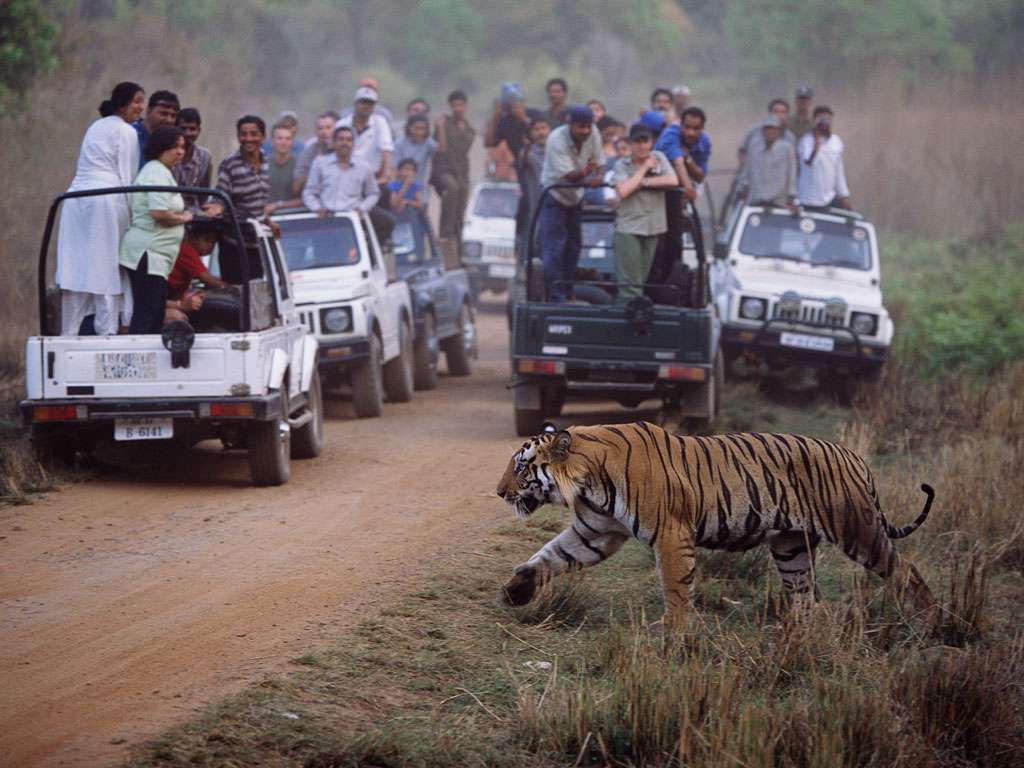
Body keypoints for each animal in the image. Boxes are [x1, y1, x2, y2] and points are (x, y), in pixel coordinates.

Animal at [496, 421, 936, 629]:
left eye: (521, 466)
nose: (499, 492)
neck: (588, 479)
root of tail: (854, 456)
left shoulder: (671, 534)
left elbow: (676, 588)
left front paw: (671, 633)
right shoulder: (596, 533)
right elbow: (550, 555)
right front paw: (516, 590)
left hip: (857, 529)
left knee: (907, 570)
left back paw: (932, 620)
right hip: (791, 546)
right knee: (807, 597)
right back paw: (796, 636)